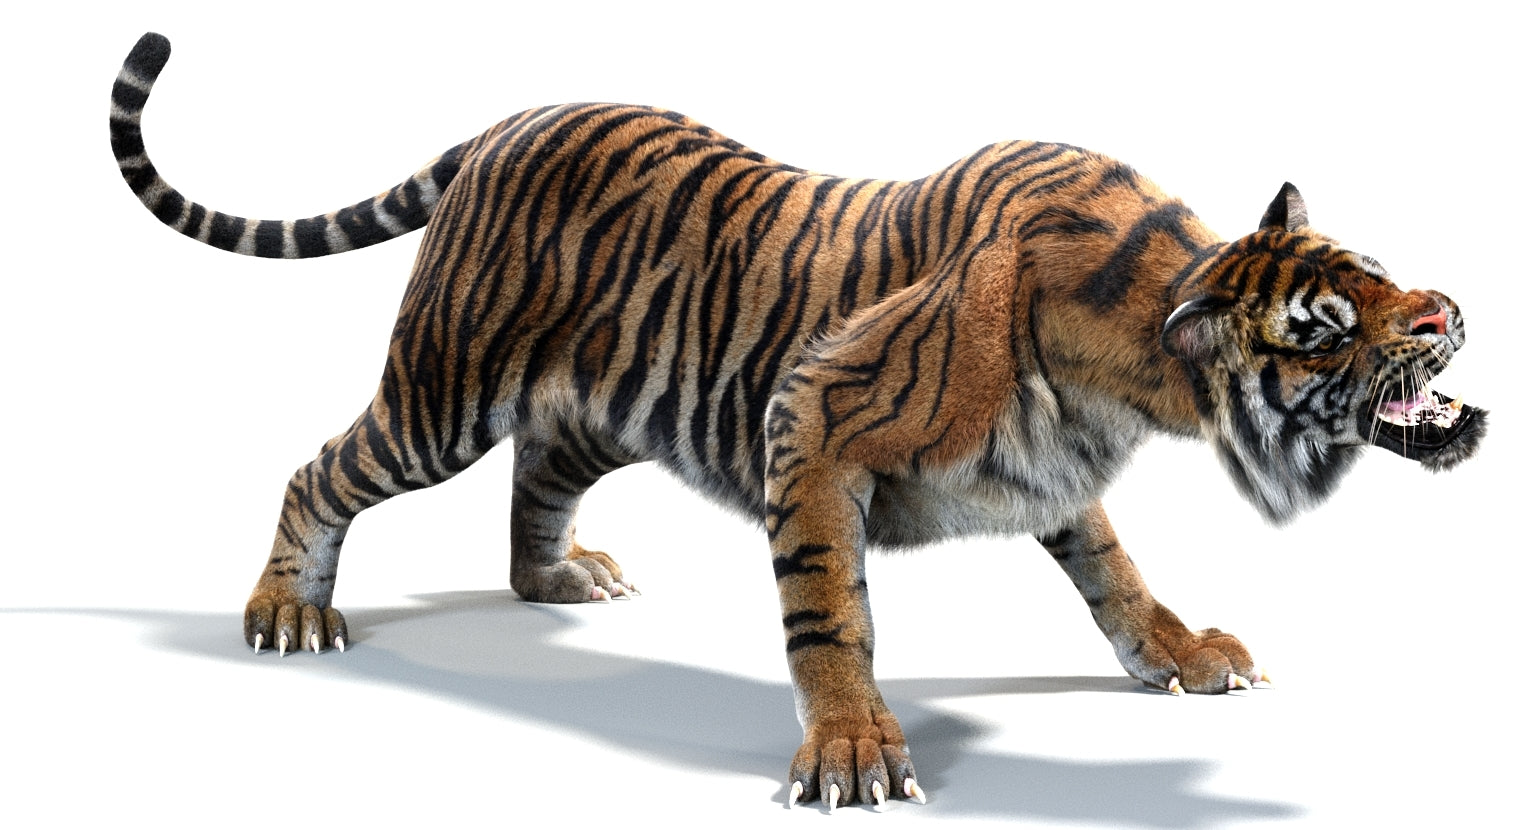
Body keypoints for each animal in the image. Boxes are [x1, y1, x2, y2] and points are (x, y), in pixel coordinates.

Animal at [110, 32, 1486, 810]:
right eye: (1326, 325)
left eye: (1377, 273)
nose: (1449, 310)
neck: (1138, 374)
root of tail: (510, 120)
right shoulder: (812, 418)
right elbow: (832, 612)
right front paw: (853, 754)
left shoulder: (1055, 474)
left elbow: (1116, 572)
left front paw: (1185, 653)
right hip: (444, 388)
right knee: (322, 467)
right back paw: (289, 609)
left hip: (609, 397)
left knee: (538, 473)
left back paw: (557, 577)